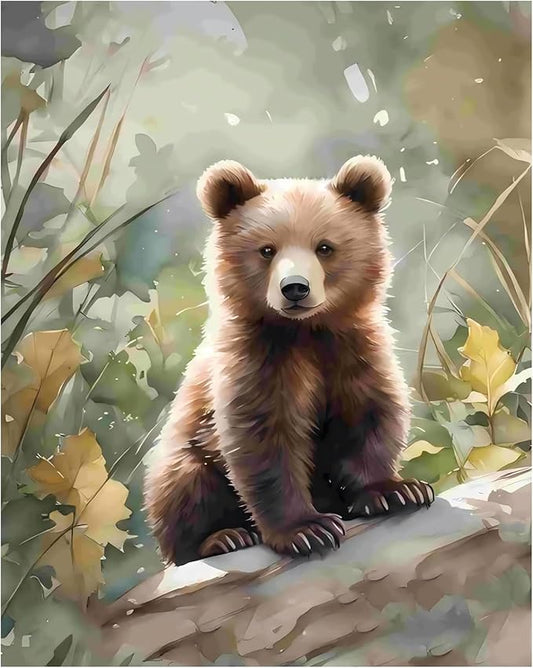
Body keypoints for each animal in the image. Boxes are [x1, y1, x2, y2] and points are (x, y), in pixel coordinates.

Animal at [144, 156, 434, 566]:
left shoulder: (353, 349)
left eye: (325, 247)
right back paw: (222, 537)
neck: (304, 331)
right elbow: (266, 441)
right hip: (183, 454)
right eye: (267, 250)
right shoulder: (258, 361)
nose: (295, 288)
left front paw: (396, 491)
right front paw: (307, 530)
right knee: (184, 486)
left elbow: (369, 413)